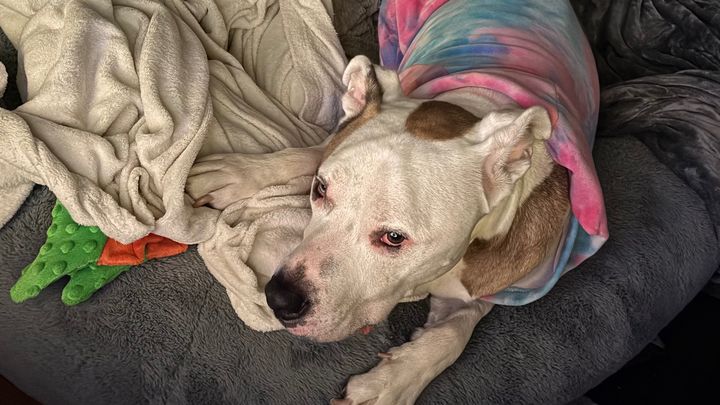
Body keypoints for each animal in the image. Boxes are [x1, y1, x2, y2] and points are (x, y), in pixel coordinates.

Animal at [187, 0, 608, 403]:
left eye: (393, 238)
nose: (279, 298)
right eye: (320, 190)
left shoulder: (488, 287)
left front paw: (390, 382)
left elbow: (454, 333)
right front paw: (238, 172)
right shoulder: (336, 141)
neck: (471, 107)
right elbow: (307, 154)